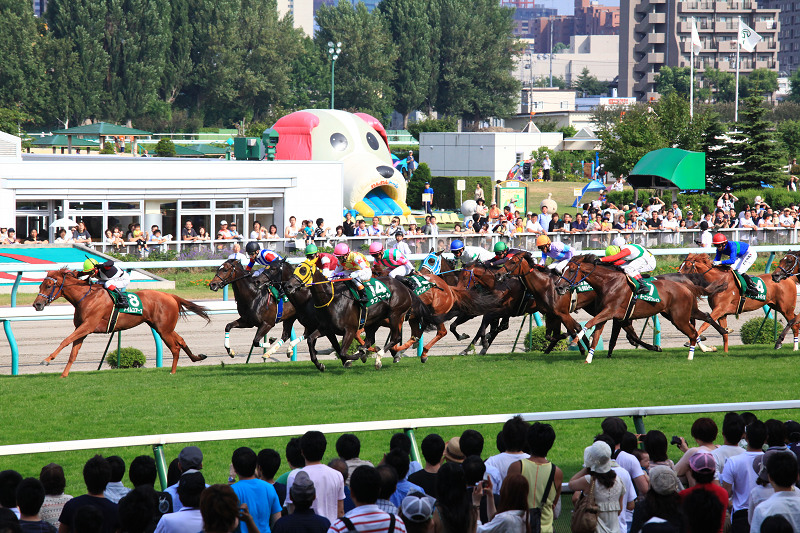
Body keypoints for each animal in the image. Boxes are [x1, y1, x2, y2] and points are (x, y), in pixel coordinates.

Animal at [34, 268, 209, 376]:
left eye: (48, 285)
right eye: (40, 285)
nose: (37, 304)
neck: (86, 297)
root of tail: (171, 296)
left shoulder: (88, 326)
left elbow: (65, 340)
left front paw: (46, 360)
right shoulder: (82, 329)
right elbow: (73, 353)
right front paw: (64, 375)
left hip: (164, 329)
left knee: (175, 347)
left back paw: (172, 371)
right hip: (162, 327)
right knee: (181, 340)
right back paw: (197, 357)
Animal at [552, 254, 728, 362]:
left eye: (572, 270)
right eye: (563, 270)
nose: (559, 287)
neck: (609, 282)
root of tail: (686, 284)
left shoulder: (611, 312)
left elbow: (591, 324)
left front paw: (577, 339)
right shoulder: (612, 315)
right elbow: (598, 333)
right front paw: (589, 357)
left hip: (679, 317)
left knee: (693, 330)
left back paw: (696, 352)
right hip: (679, 313)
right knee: (704, 318)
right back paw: (716, 340)